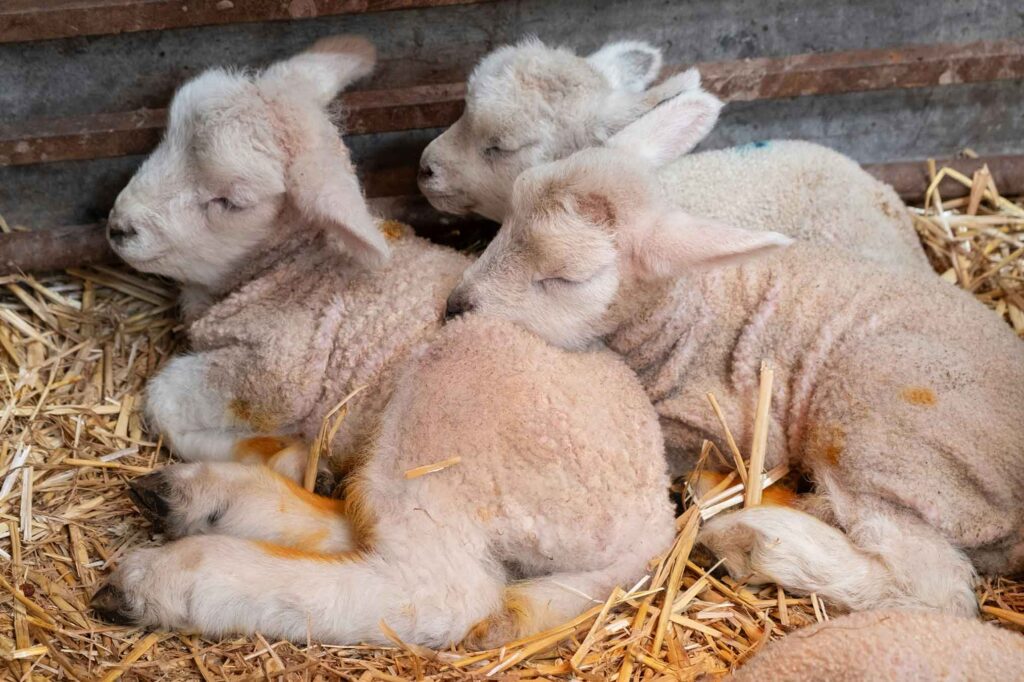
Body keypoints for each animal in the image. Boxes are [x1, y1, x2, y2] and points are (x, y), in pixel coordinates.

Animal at [92, 314, 676, 647]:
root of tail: (659, 520)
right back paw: (202, 500)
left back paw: (171, 579)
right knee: (360, 526)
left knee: (442, 590)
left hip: (457, 413)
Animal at [444, 90, 1024, 617]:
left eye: (567, 279)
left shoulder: (721, 426)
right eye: (508, 216)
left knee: (934, 587)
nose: (455, 306)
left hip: (891, 440)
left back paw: (756, 539)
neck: (686, 307)